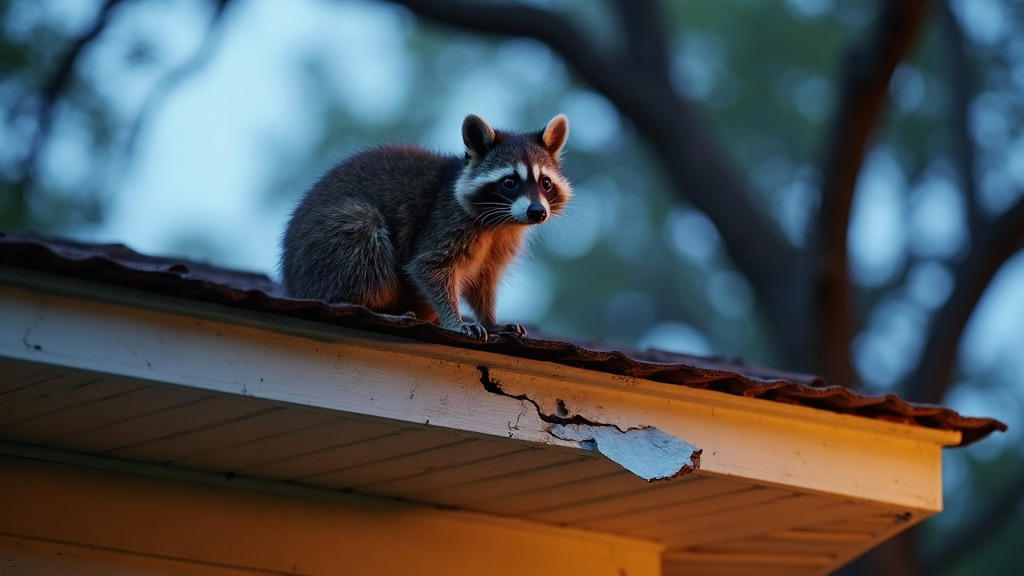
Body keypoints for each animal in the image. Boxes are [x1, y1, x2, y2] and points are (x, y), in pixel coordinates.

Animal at [280, 114, 571, 341]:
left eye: (545, 183)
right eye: (509, 182)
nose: (537, 212)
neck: (503, 222)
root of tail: (292, 282)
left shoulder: (500, 242)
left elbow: (484, 280)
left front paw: (490, 319)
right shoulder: (444, 221)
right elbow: (428, 267)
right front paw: (454, 319)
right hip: (334, 245)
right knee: (364, 235)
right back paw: (365, 307)